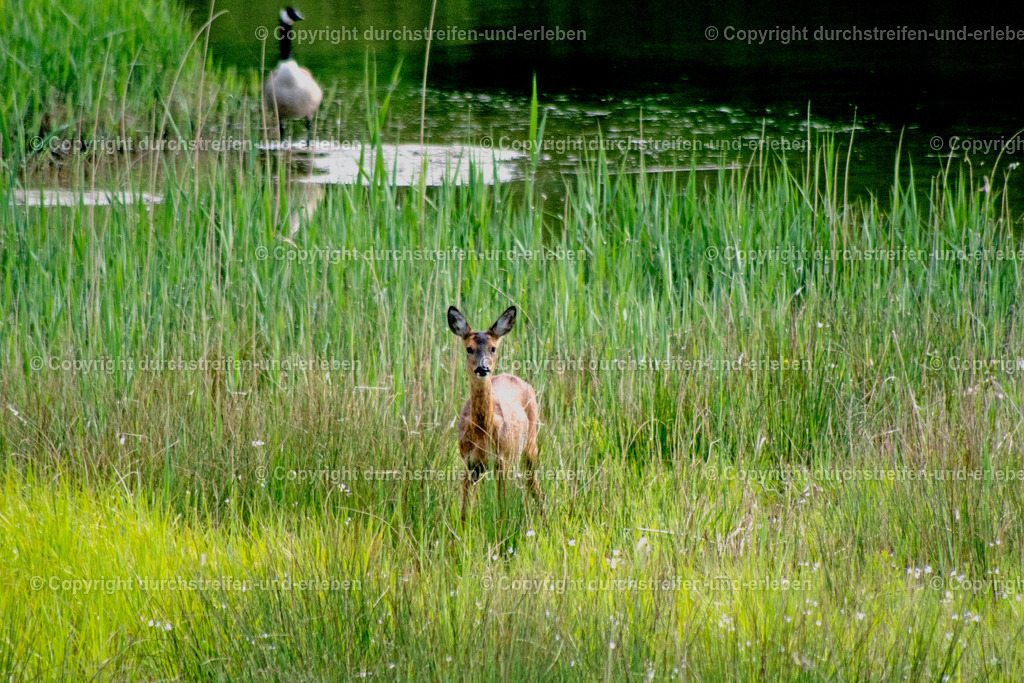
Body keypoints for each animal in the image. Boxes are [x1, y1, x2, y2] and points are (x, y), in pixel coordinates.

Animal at [447, 305, 544, 524]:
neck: (483, 432)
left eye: (493, 348)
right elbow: (464, 512)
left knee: (535, 487)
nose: (483, 368)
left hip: (530, 445)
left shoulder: (503, 460)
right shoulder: (469, 463)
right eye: (469, 348)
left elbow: (502, 509)